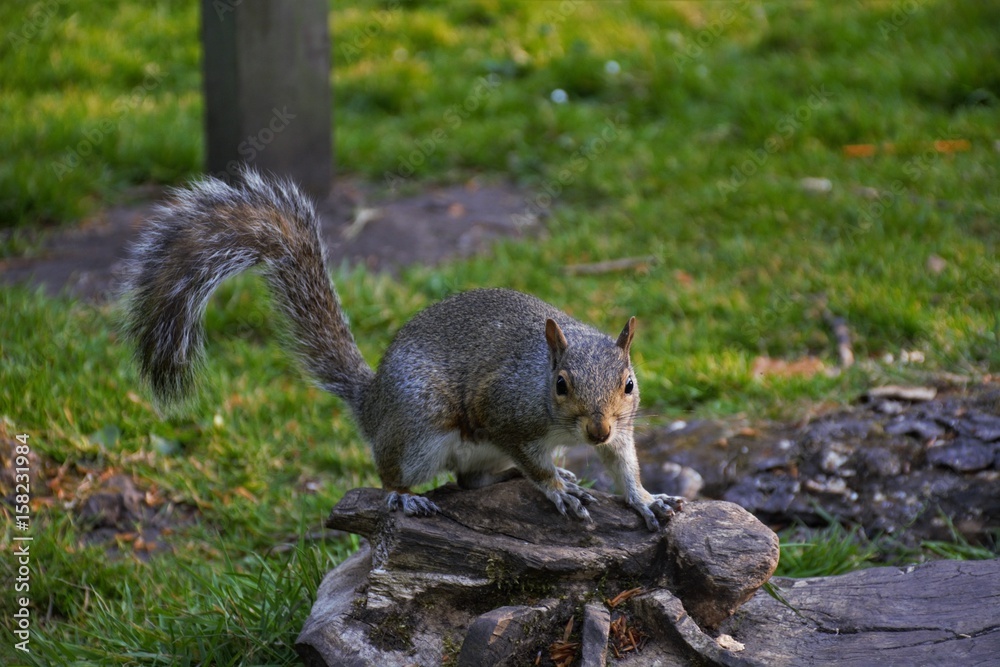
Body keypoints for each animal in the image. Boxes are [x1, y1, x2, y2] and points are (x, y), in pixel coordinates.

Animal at [120, 168, 684, 531]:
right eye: (561, 385)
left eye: (629, 384)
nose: (596, 429)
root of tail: (371, 404)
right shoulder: (504, 411)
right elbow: (532, 461)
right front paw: (558, 490)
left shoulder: (620, 431)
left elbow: (624, 465)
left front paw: (645, 499)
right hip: (420, 425)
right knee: (397, 475)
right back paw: (407, 499)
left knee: (472, 480)